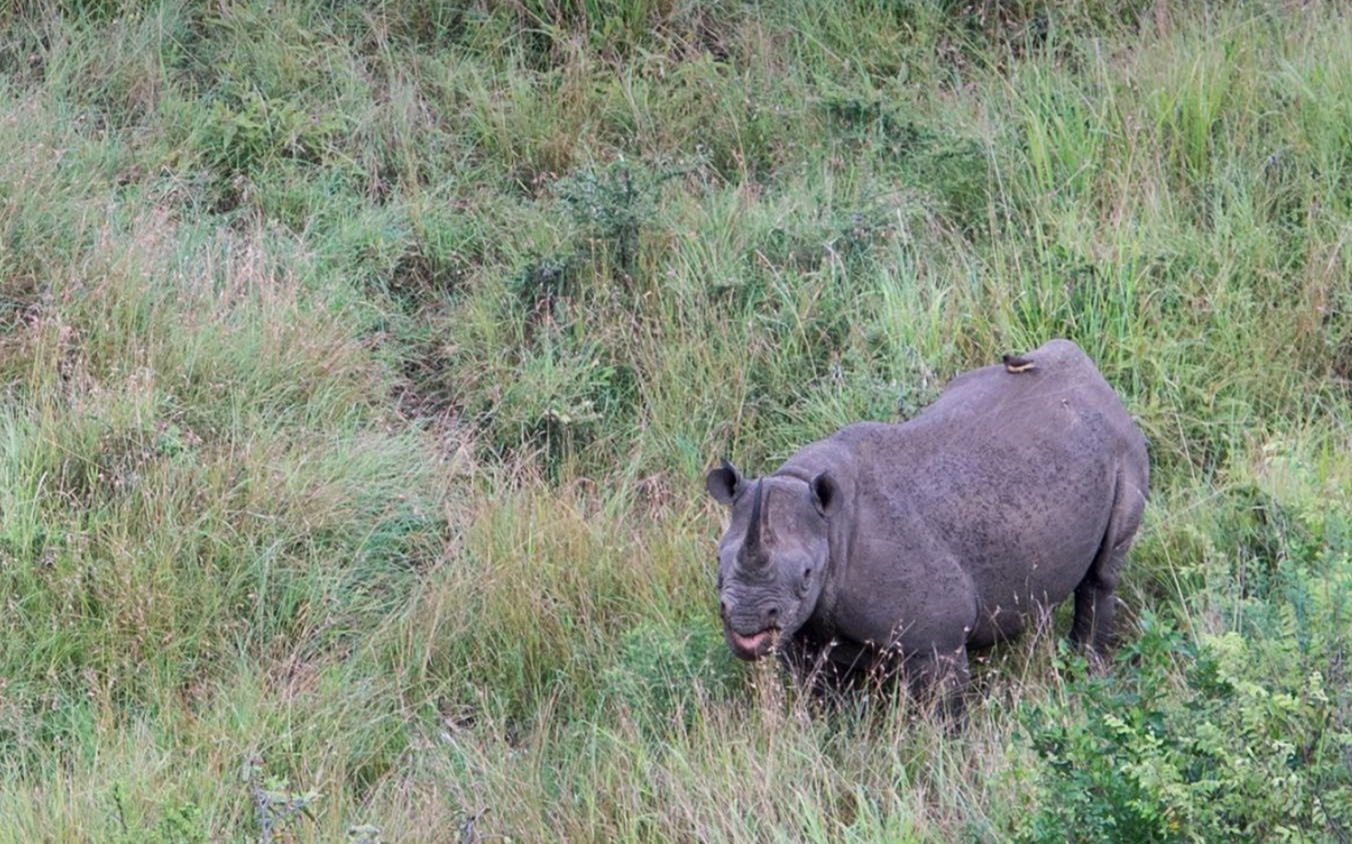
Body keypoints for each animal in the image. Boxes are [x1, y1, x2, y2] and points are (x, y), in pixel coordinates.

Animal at [705, 339, 1148, 700]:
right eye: (717, 562)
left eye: (807, 574)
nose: (746, 617)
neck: (829, 524)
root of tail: (1089, 371)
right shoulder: (804, 633)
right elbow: (812, 697)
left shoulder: (938, 642)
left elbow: (941, 709)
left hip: (1123, 442)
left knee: (1102, 571)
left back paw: (1086, 668)